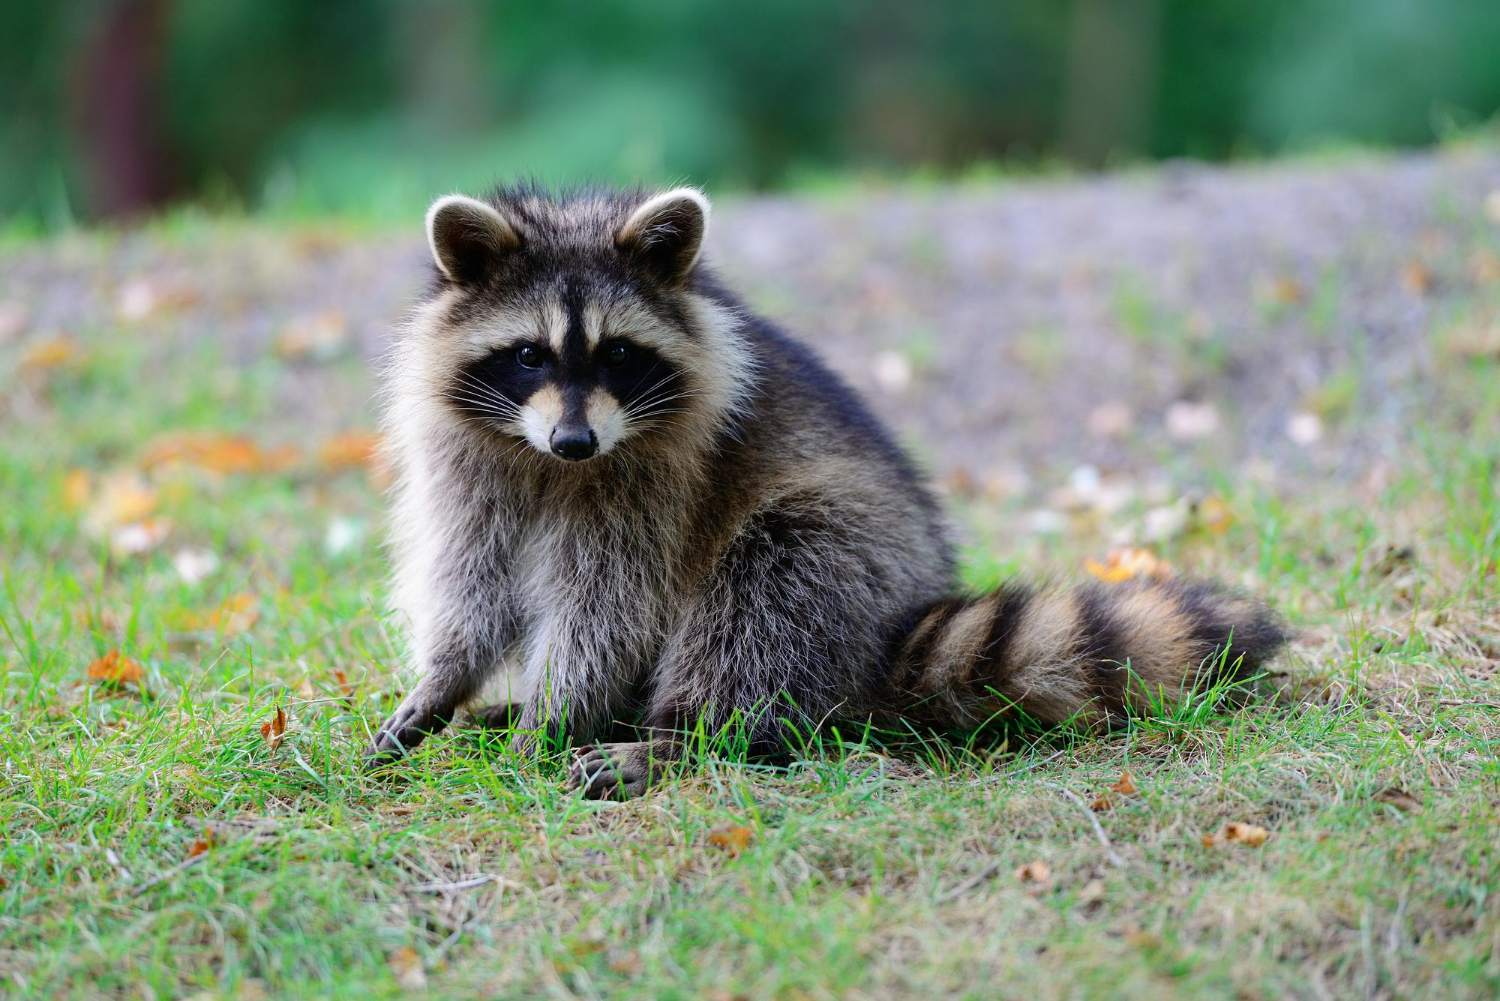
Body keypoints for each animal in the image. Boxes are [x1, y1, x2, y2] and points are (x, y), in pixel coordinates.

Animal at [368, 184, 1286, 798]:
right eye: (529, 355)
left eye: (618, 354)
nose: (575, 441)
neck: (550, 463)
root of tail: (897, 626)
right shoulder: (470, 461)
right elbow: (472, 581)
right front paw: (447, 681)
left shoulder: (658, 479)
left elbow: (609, 606)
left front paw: (557, 715)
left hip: (845, 553)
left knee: (764, 595)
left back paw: (679, 734)